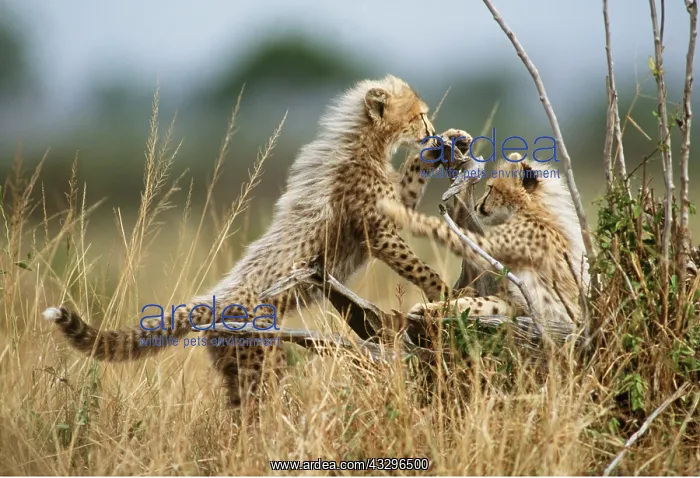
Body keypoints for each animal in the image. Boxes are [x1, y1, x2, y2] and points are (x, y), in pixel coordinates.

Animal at [43, 74, 469, 410]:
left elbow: (411, 178)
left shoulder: (392, 208)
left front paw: (446, 142)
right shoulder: (377, 233)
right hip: (261, 359)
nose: (430, 129)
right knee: (259, 411)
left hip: (236, 364)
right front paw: (445, 295)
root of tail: (211, 301)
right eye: (418, 115)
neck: (364, 144)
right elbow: (419, 266)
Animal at [378, 153, 591, 328]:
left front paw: (397, 211)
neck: (533, 210)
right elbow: (480, 303)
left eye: (490, 188)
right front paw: (431, 308)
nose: (477, 205)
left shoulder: (492, 247)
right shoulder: (516, 303)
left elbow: (445, 230)